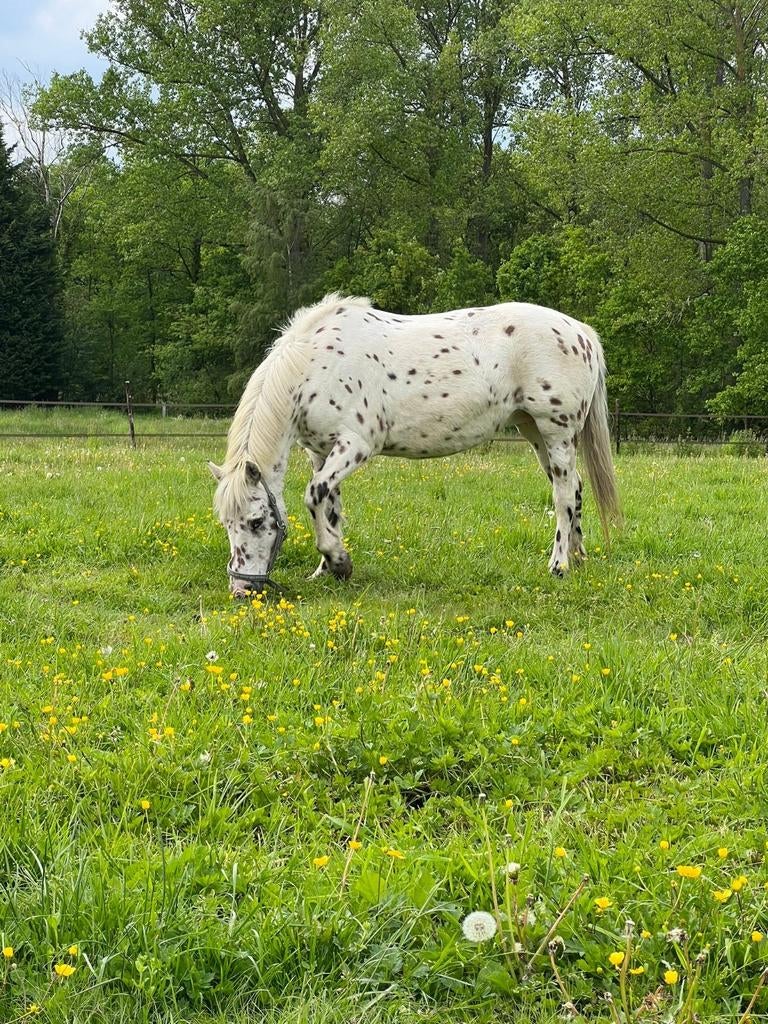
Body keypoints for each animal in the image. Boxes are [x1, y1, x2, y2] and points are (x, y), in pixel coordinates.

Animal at [208, 293, 620, 595]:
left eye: (257, 521)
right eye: (226, 523)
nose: (242, 590)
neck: (314, 366)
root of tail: (580, 331)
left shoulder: (355, 445)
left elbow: (313, 496)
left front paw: (338, 561)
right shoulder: (321, 453)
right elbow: (329, 506)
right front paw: (330, 569)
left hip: (556, 431)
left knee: (563, 496)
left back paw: (559, 565)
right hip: (533, 430)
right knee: (575, 488)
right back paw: (578, 558)